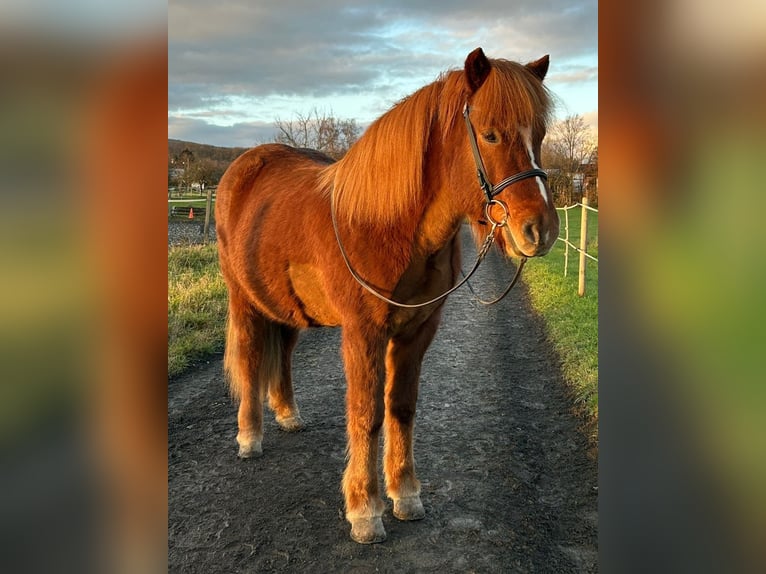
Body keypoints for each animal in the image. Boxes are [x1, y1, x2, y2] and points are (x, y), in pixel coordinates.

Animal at [216, 48, 560, 544]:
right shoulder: (364, 334)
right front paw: (364, 510)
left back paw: (287, 413)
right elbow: (367, 414)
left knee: (282, 354)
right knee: (249, 359)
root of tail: (243, 169)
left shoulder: (417, 331)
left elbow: (401, 408)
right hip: (244, 301)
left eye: (540, 134)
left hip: (286, 306)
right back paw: (250, 437)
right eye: (491, 133)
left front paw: (405, 493)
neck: (388, 226)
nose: (540, 230)